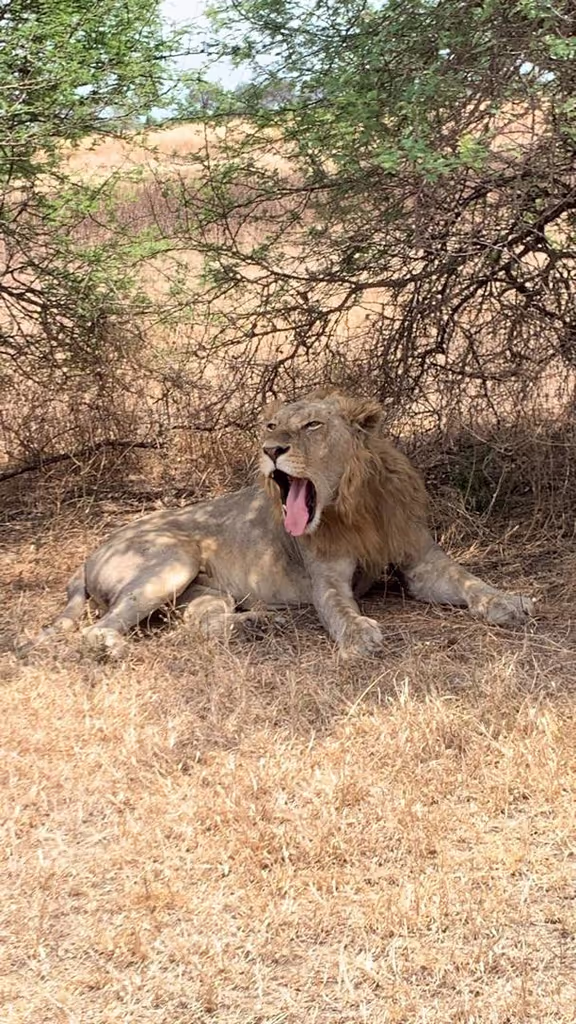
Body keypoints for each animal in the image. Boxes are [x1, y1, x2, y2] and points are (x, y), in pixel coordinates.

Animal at [40, 391, 533, 658]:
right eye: (270, 425)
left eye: (312, 425)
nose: (270, 449)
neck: (354, 502)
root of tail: (88, 556)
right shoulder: (326, 577)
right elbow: (339, 609)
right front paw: (359, 635)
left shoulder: (423, 562)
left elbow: (471, 582)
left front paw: (510, 602)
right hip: (172, 560)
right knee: (96, 627)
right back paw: (111, 647)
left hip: (204, 592)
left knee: (201, 622)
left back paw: (260, 625)